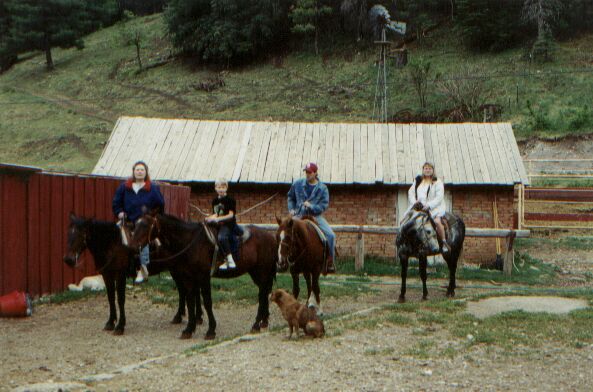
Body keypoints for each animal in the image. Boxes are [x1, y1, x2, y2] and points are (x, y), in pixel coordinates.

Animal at [65, 213, 194, 336]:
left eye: (81, 235)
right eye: (69, 234)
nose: (68, 260)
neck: (113, 245)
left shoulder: (120, 276)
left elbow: (120, 299)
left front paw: (120, 326)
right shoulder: (107, 276)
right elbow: (111, 298)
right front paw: (110, 323)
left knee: (183, 290)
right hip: (174, 269)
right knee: (182, 290)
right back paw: (178, 317)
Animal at [128, 213, 276, 338]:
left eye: (146, 225)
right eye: (136, 225)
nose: (132, 247)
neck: (189, 242)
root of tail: (270, 237)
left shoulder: (203, 277)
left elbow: (207, 302)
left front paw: (211, 330)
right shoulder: (188, 278)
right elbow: (190, 301)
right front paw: (189, 329)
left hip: (261, 271)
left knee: (262, 294)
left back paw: (256, 324)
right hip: (256, 273)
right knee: (264, 293)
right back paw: (263, 321)